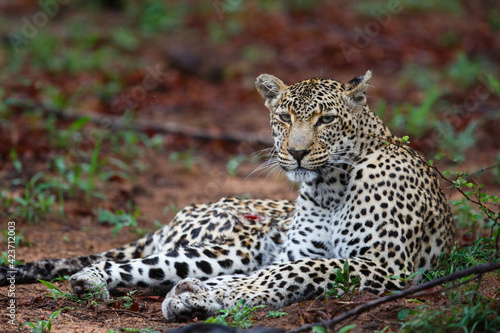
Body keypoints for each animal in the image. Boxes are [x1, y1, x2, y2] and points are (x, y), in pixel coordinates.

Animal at [0, 70, 454, 322]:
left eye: (326, 120)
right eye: (284, 117)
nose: (297, 153)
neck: (327, 188)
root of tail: (190, 208)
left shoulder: (384, 264)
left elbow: (291, 273)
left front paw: (200, 298)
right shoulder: (304, 254)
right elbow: (286, 270)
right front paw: (201, 296)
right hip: (230, 246)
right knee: (136, 265)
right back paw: (91, 280)